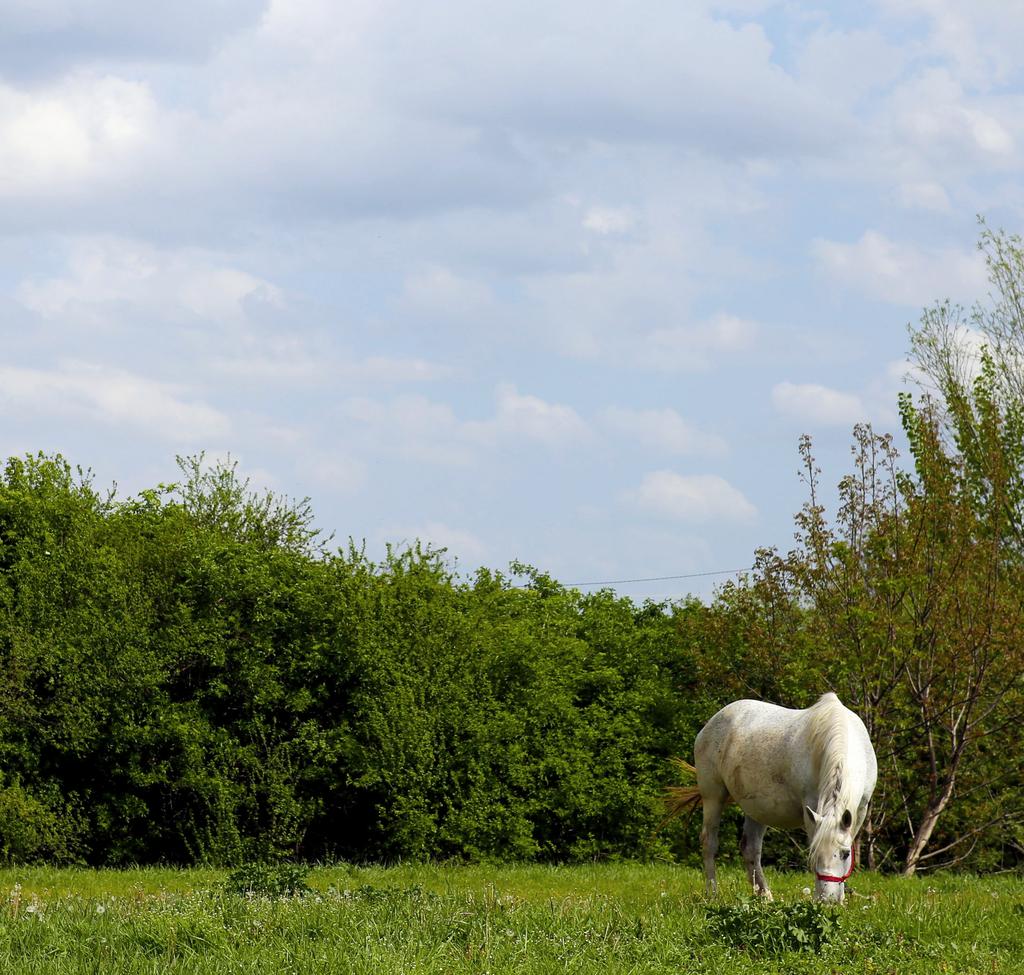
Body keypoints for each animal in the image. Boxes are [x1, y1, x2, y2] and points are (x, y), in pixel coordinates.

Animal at [667, 692, 876, 905]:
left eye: (845, 854)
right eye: (814, 853)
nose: (827, 900)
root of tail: (710, 724)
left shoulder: (860, 809)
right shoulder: (810, 807)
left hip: (756, 808)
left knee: (750, 848)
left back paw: (765, 896)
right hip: (713, 796)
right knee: (709, 842)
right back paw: (713, 894)